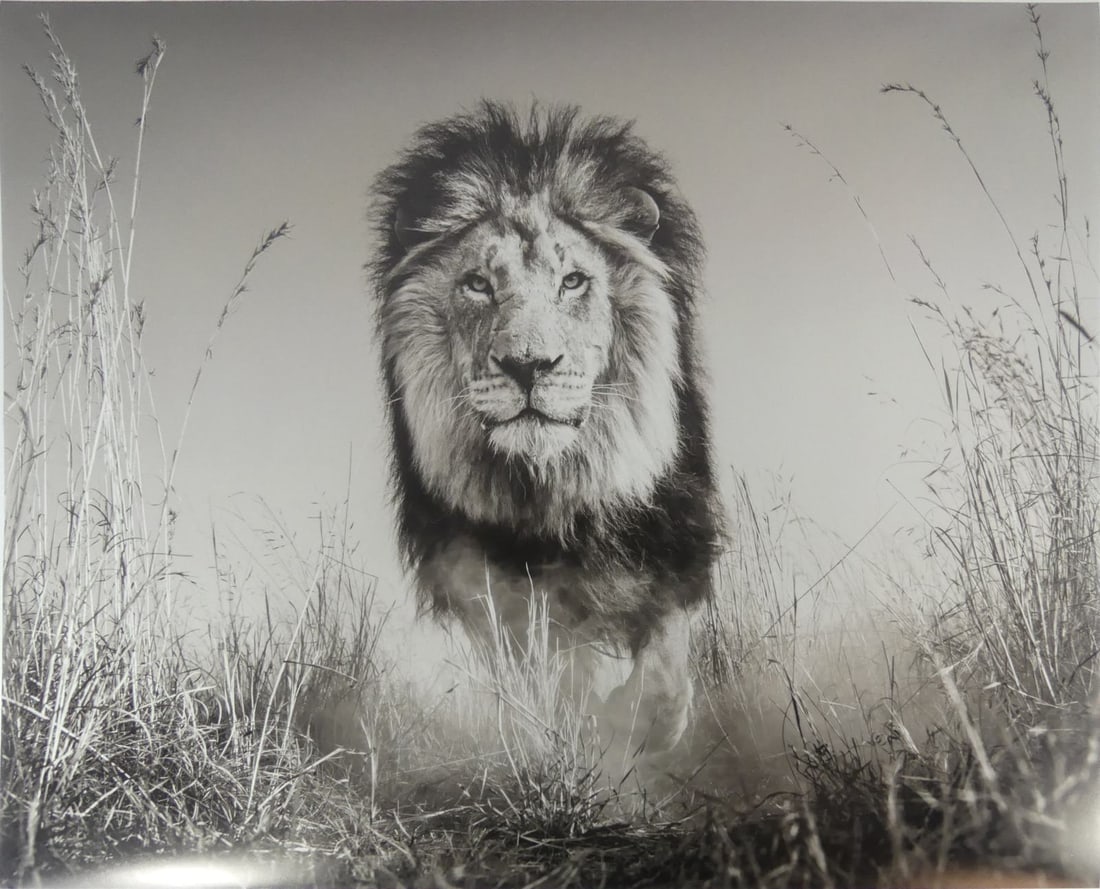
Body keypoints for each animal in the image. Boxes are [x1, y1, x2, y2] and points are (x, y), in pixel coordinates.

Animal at [369, 102, 723, 753]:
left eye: (573, 281)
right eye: (478, 284)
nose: (527, 365)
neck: (549, 487)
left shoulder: (674, 538)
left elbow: (665, 664)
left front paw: (635, 722)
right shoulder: (480, 581)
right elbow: (547, 677)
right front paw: (580, 725)